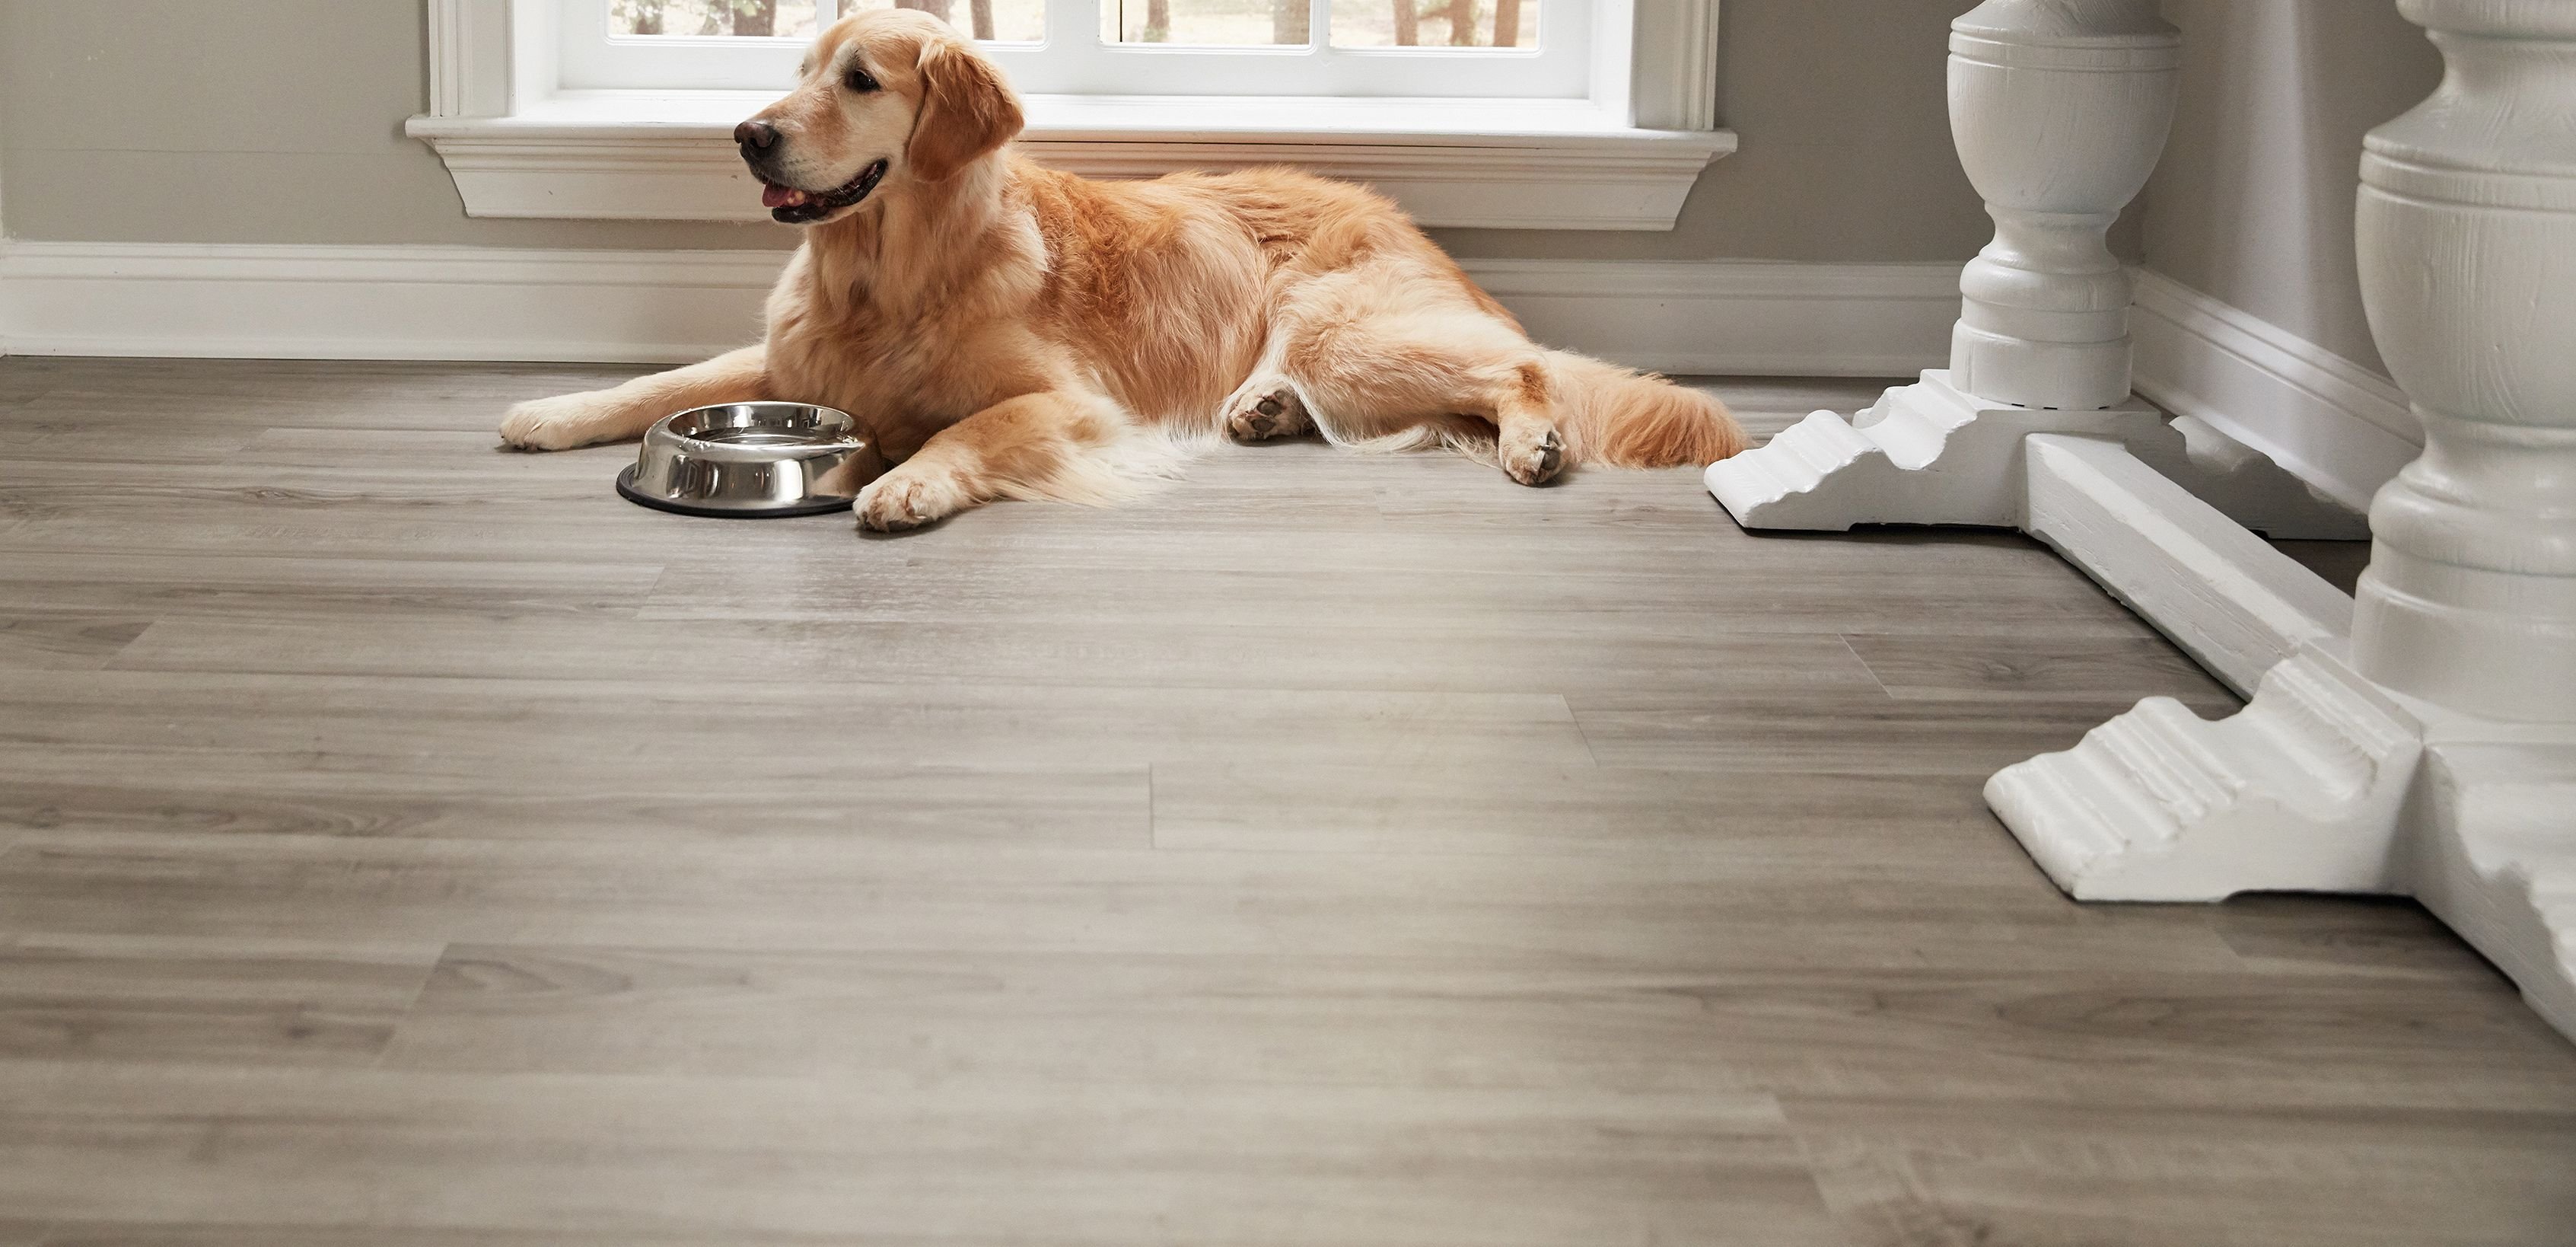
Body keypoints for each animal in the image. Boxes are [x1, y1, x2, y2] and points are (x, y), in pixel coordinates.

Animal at [497, 3, 1751, 525]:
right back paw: (1263, 410)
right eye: (797, 70)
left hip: (1348, 333)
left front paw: (907, 481)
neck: (886, 273)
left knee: (1522, 371)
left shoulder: (1071, 403)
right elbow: (666, 382)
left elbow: (969, 430)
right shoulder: (793, 358)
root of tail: (1402, 218)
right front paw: (549, 411)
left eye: (858, 81)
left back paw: (1534, 440)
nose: (748, 135)